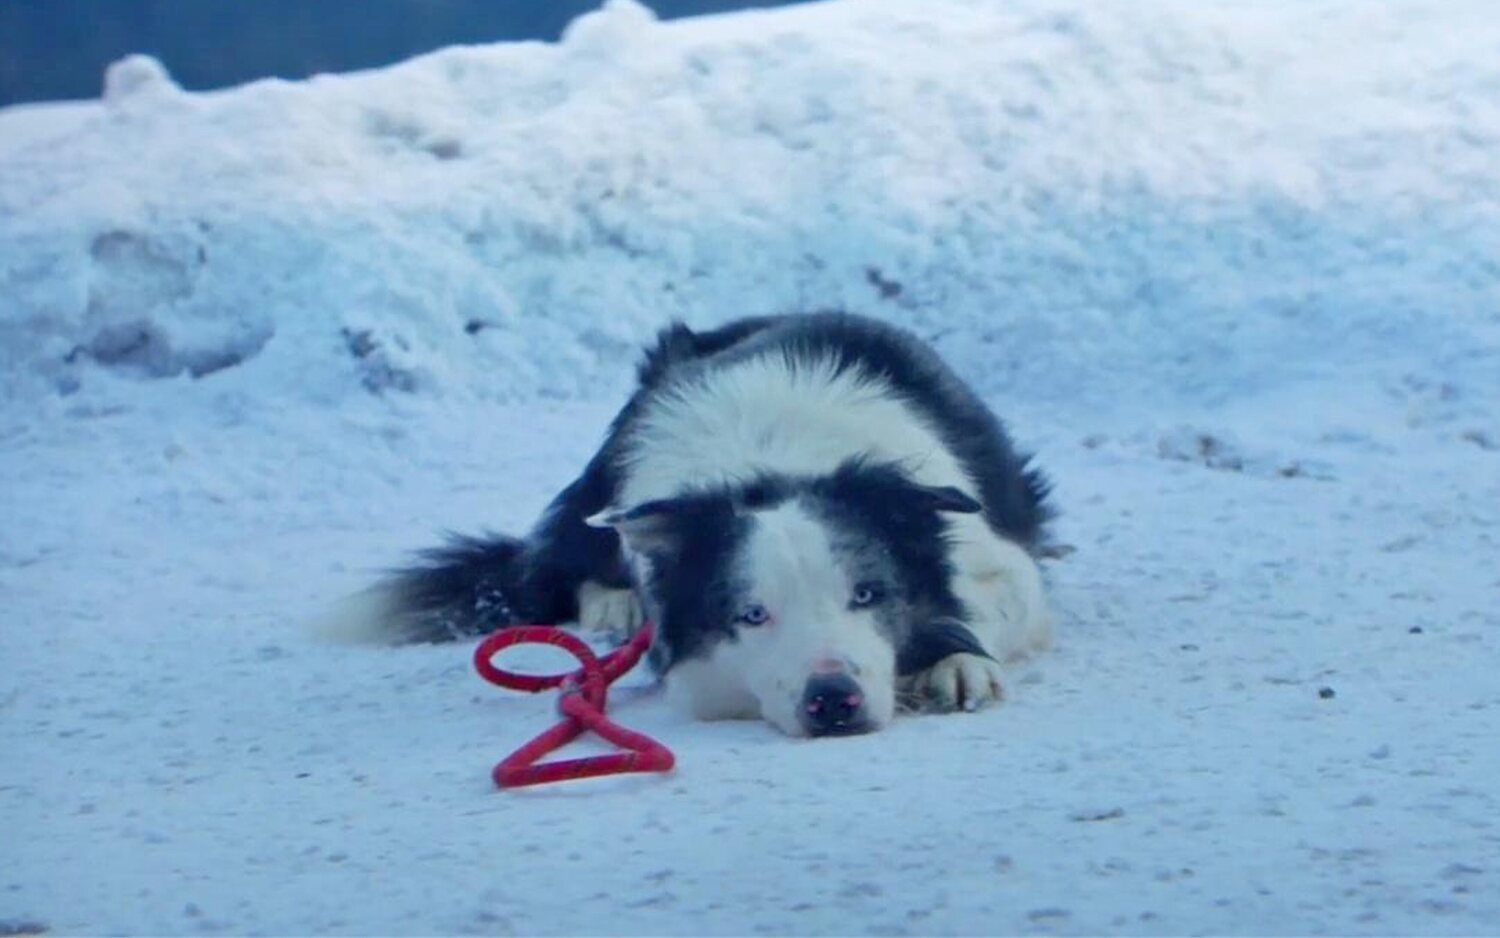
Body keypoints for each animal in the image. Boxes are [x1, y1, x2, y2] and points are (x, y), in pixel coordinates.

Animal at [343, 310, 1050, 735]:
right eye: (752, 614)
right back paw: (616, 602)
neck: (773, 463)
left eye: (868, 594)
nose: (831, 701)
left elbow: (988, 602)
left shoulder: (998, 557)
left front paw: (956, 661)